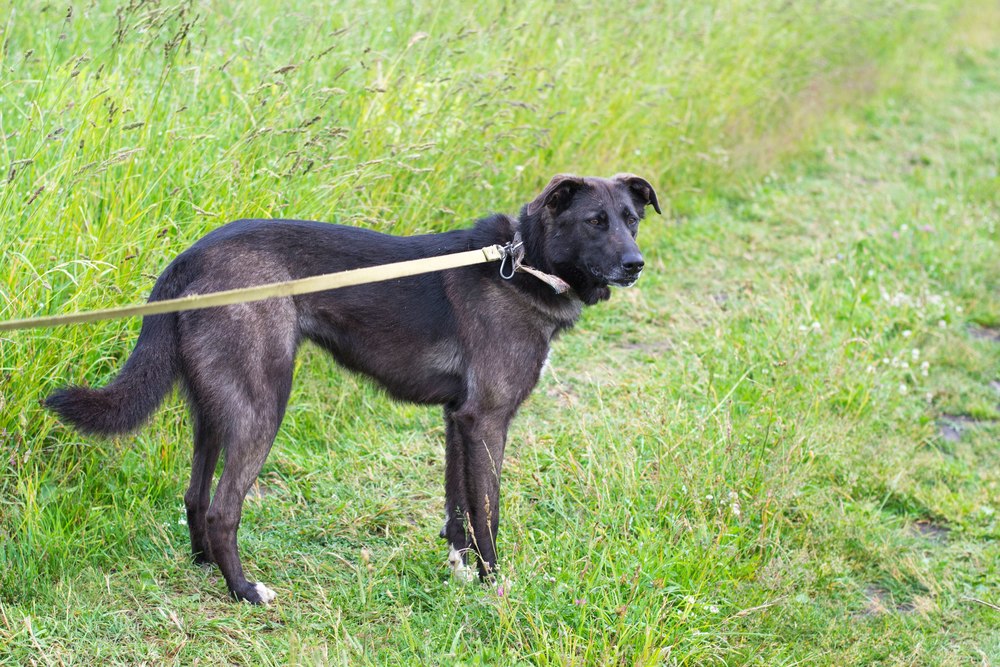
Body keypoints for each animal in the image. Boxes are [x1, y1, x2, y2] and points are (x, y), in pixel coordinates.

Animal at [45, 174, 656, 604]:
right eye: (595, 220)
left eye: (631, 219)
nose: (636, 264)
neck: (523, 263)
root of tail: (189, 257)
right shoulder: (487, 419)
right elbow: (488, 513)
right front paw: (492, 584)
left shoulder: (458, 418)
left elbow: (457, 504)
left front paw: (458, 570)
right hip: (263, 403)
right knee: (222, 508)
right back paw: (245, 592)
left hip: (215, 406)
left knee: (196, 496)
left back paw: (206, 569)